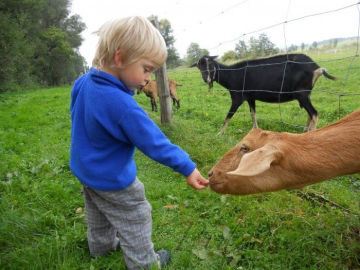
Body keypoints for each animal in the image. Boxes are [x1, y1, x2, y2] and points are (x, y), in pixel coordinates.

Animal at [191, 54, 338, 134]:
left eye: (211, 64)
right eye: (199, 66)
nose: (207, 79)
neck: (232, 75)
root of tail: (317, 68)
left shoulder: (237, 97)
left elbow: (229, 115)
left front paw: (220, 133)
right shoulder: (250, 97)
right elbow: (253, 113)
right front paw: (255, 131)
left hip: (301, 93)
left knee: (314, 113)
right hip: (304, 95)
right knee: (310, 113)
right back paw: (305, 131)